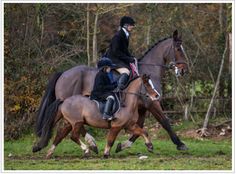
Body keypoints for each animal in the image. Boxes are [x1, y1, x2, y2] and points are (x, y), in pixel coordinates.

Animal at [33, 29, 189, 156]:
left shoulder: (142, 107)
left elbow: (139, 126)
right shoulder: (151, 103)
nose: (183, 70)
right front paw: (180, 144)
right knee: (70, 124)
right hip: (69, 102)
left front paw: (123, 145)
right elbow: (164, 122)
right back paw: (90, 143)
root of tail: (63, 73)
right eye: (178, 48)